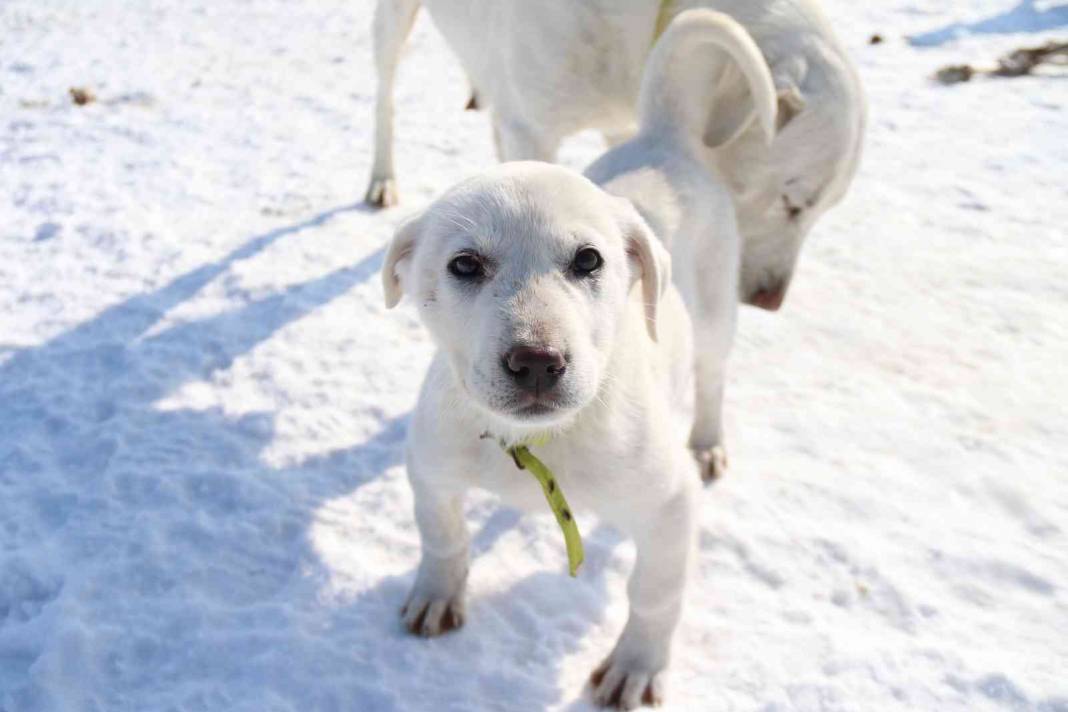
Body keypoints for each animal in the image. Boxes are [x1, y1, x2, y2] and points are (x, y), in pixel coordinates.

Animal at [369, 0, 867, 311]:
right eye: (792, 202)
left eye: (820, 212)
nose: (770, 301)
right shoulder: (532, 131)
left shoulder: (621, 125)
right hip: (392, 27)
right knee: (385, 93)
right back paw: (382, 178)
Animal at [384, 163, 700, 712]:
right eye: (465, 264)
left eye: (589, 259)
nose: (536, 361)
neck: (539, 439)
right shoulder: (430, 465)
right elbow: (443, 536)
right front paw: (438, 595)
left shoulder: (671, 503)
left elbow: (655, 593)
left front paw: (636, 666)